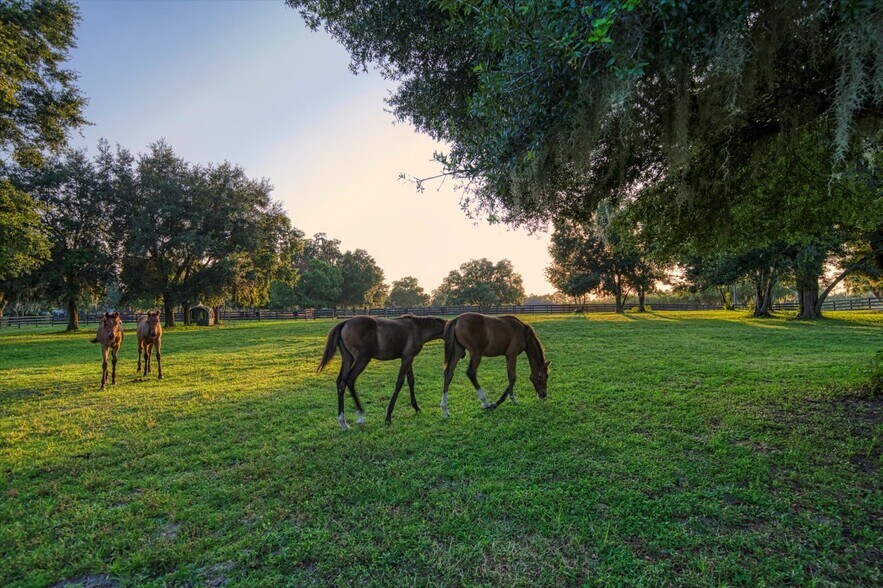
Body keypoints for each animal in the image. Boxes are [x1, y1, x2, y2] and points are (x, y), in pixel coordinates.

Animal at [317, 314, 446, 429]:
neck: (418, 328)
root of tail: (344, 322)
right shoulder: (407, 358)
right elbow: (399, 383)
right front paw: (388, 417)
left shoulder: (408, 358)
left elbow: (411, 380)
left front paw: (416, 408)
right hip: (362, 359)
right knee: (350, 380)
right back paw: (361, 414)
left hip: (348, 359)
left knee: (341, 382)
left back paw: (343, 422)